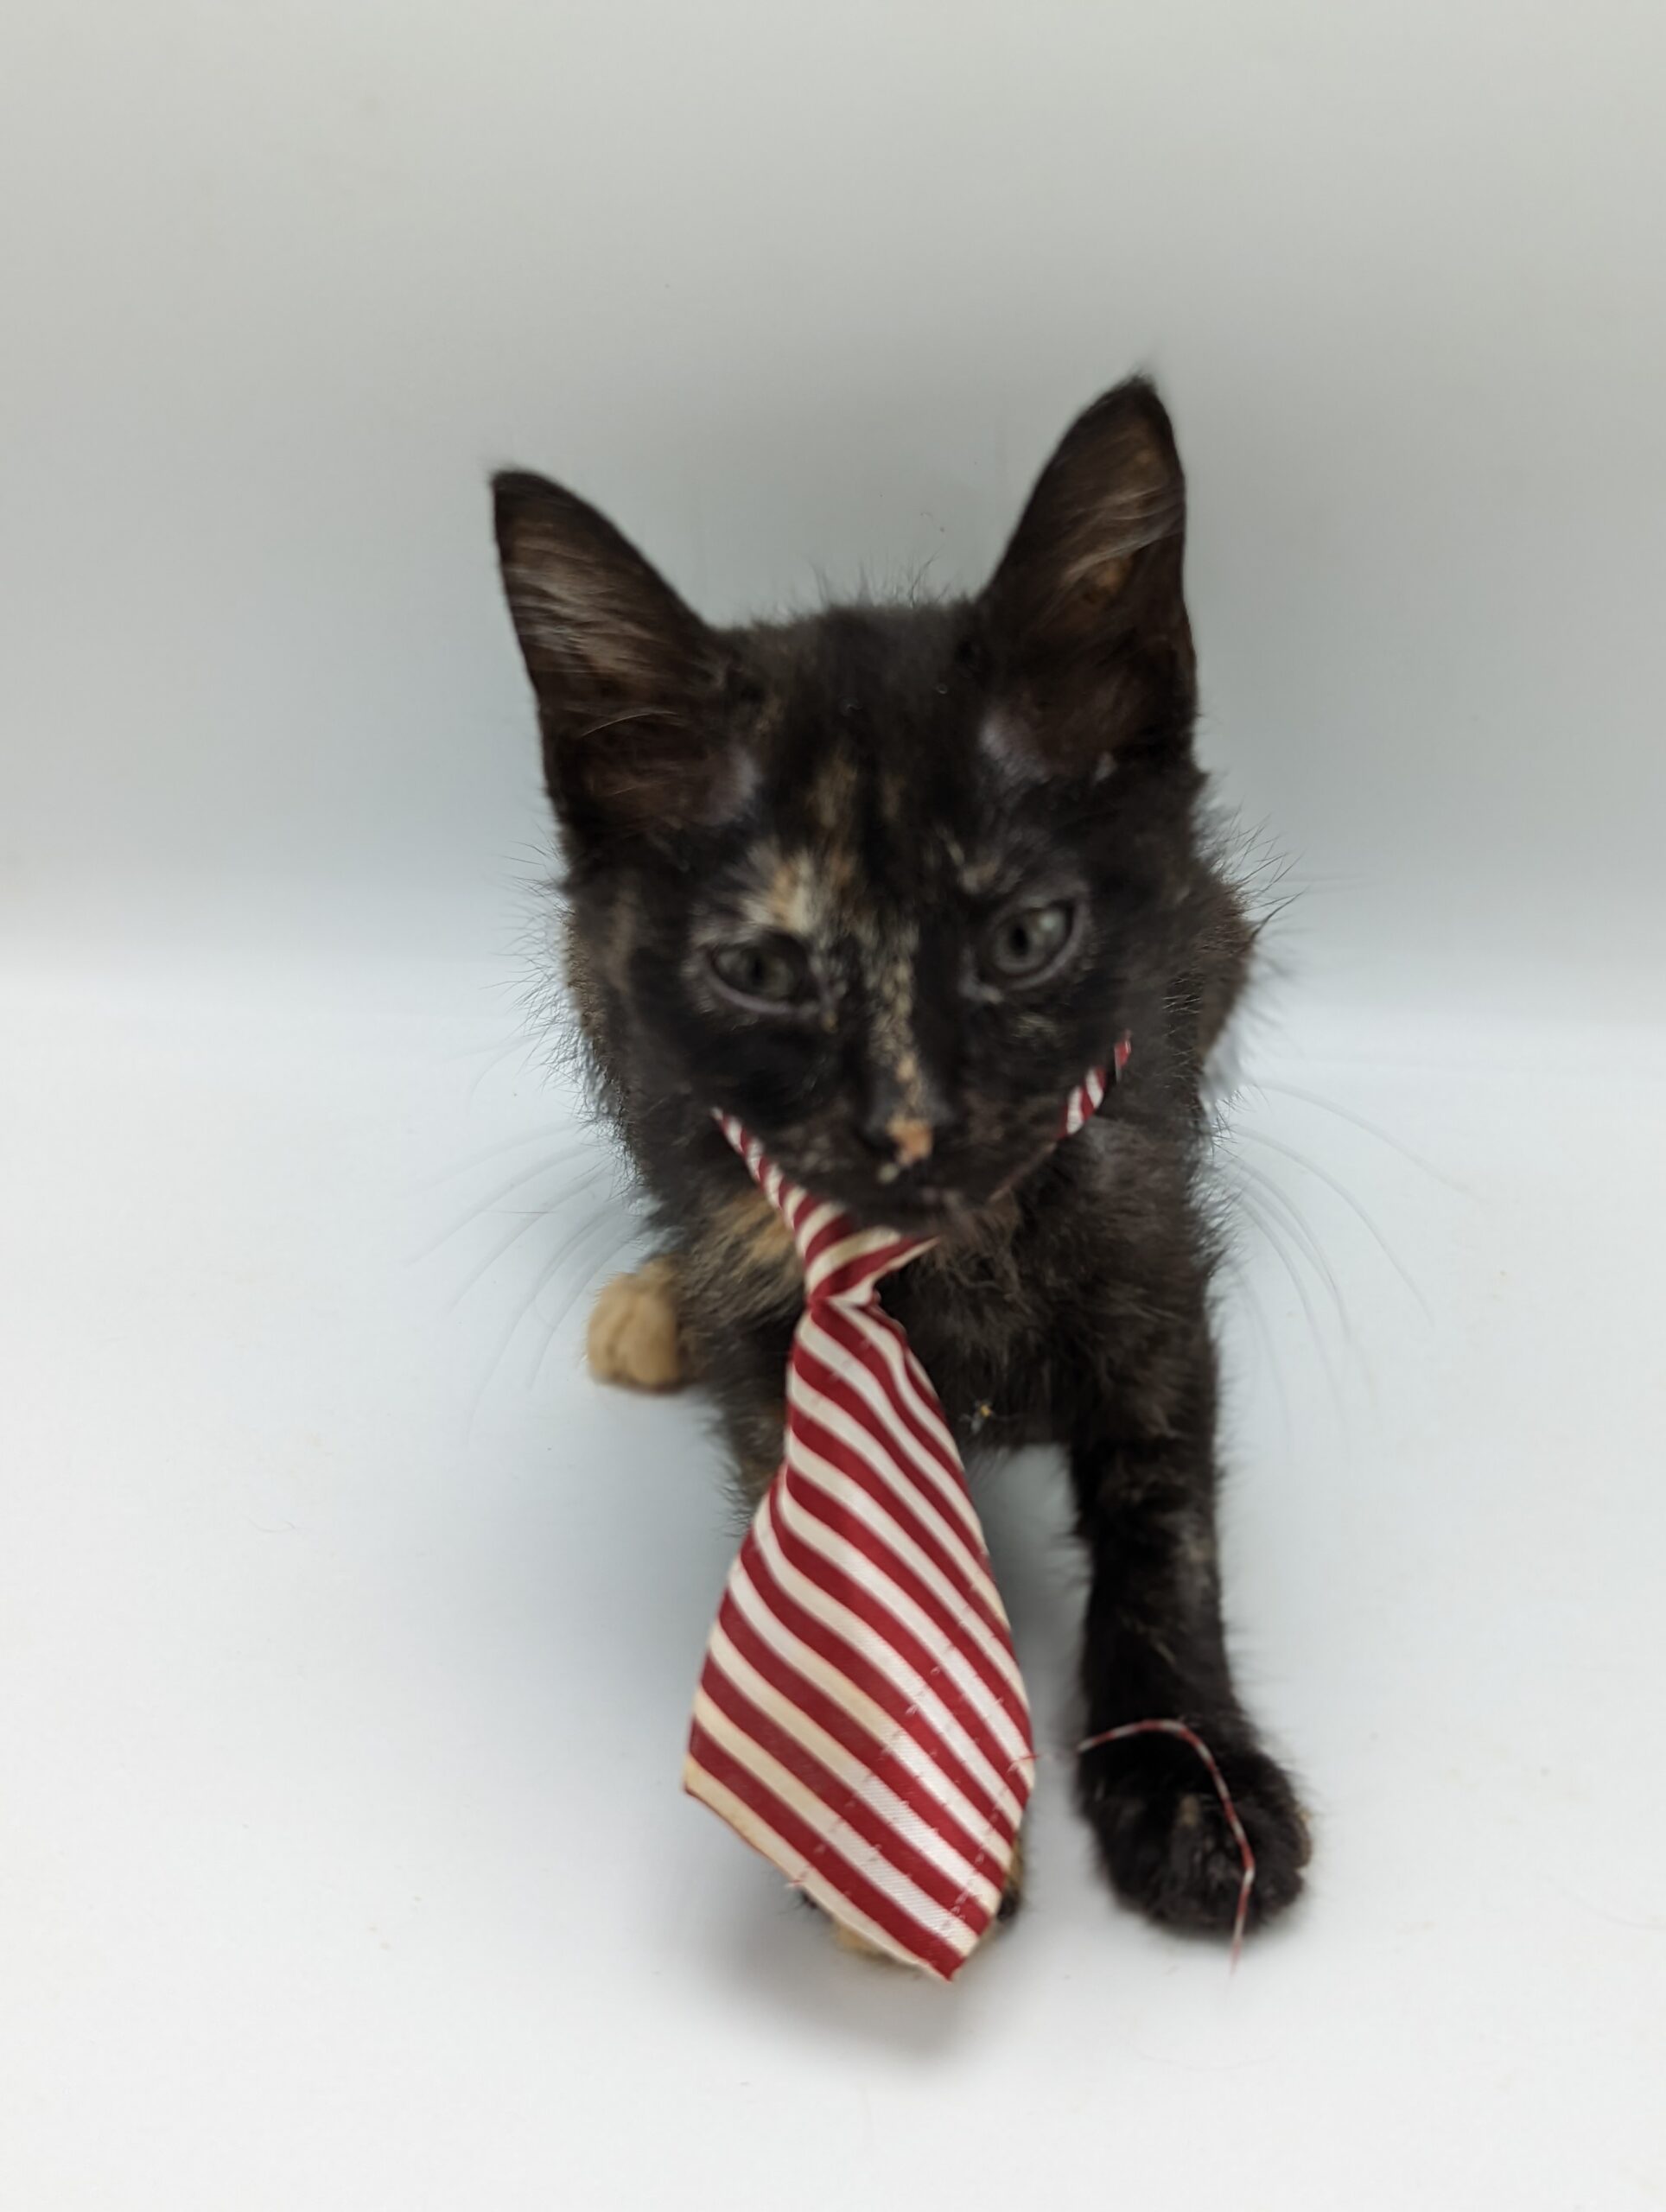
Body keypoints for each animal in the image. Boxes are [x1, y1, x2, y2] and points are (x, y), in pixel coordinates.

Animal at [486, 380, 1309, 1937]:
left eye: (1025, 938)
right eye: (760, 972)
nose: (906, 1124)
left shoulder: (1152, 1249)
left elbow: (1165, 1527)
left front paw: (1190, 1777)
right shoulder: (775, 1317)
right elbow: (808, 1488)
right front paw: (877, 1794)